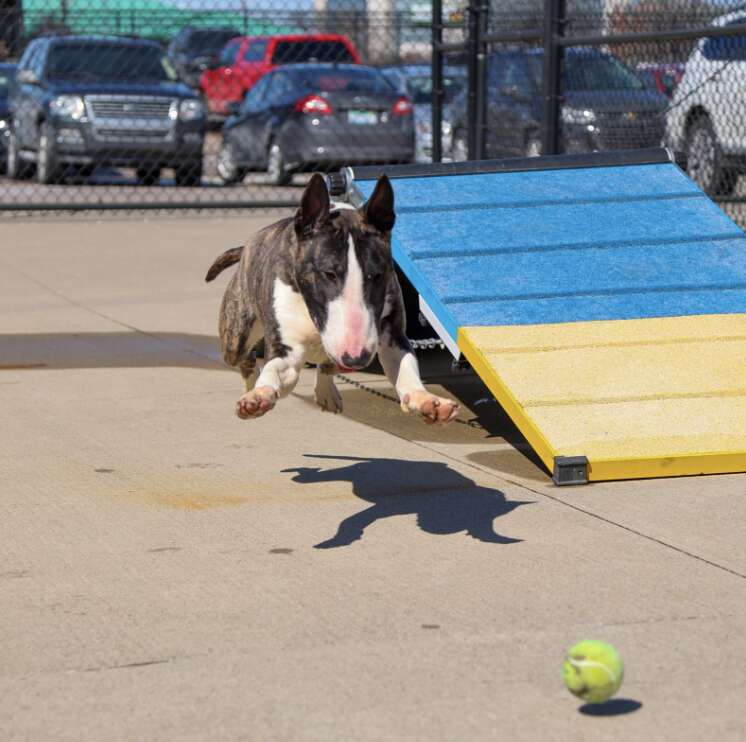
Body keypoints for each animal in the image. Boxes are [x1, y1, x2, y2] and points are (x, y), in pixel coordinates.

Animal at [205, 169, 460, 424]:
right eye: (329, 274)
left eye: (377, 275)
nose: (356, 357)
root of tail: (248, 246)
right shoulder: (287, 348)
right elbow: (277, 371)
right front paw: (259, 396)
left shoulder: (391, 334)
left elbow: (405, 366)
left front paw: (426, 400)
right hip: (236, 338)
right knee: (245, 360)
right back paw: (251, 389)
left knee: (327, 366)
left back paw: (327, 393)